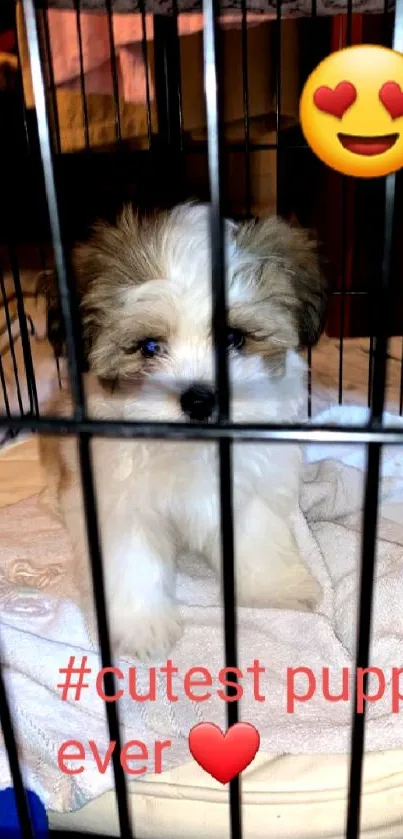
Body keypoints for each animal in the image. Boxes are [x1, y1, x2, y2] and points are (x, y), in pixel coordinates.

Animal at [38, 200, 328, 660]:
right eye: (149, 347)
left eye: (233, 338)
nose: (199, 399)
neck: (194, 447)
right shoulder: (120, 503)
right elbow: (131, 561)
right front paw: (141, 626)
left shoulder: (251, 485)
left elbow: (258, 536)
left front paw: (274, 586)